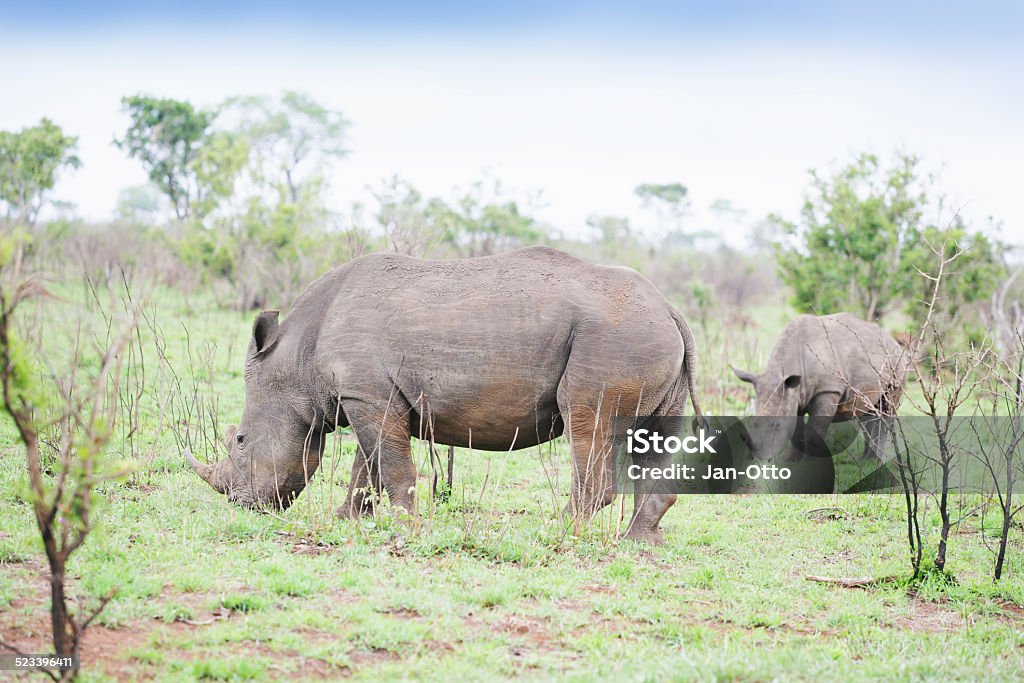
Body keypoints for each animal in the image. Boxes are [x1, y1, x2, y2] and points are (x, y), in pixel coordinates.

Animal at [188, 245, 704, 544]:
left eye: (240, 441)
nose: (242, 504)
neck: (294, 357)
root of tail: (671, 309)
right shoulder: (365, 395)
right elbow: (366, 466)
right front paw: (346, 521)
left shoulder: (366, 396)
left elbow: (390, 466)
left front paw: (406, 527)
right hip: (645, 337)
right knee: (652, 435)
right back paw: (637, 543)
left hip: (615, 338)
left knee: (587, 421)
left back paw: (552, 533)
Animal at [729, 313, 913, 493]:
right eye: (754, 424)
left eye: (778, 425)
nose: (761, 459)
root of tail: (894, 341)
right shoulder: (795, 397)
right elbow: (796, 430)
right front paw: (791, 461)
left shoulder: (828, 390)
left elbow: (812, 432)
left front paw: (809, 464)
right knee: (868, 412)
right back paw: (864, 460)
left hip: (896, 362)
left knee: (886, 408)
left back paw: (874, 461)